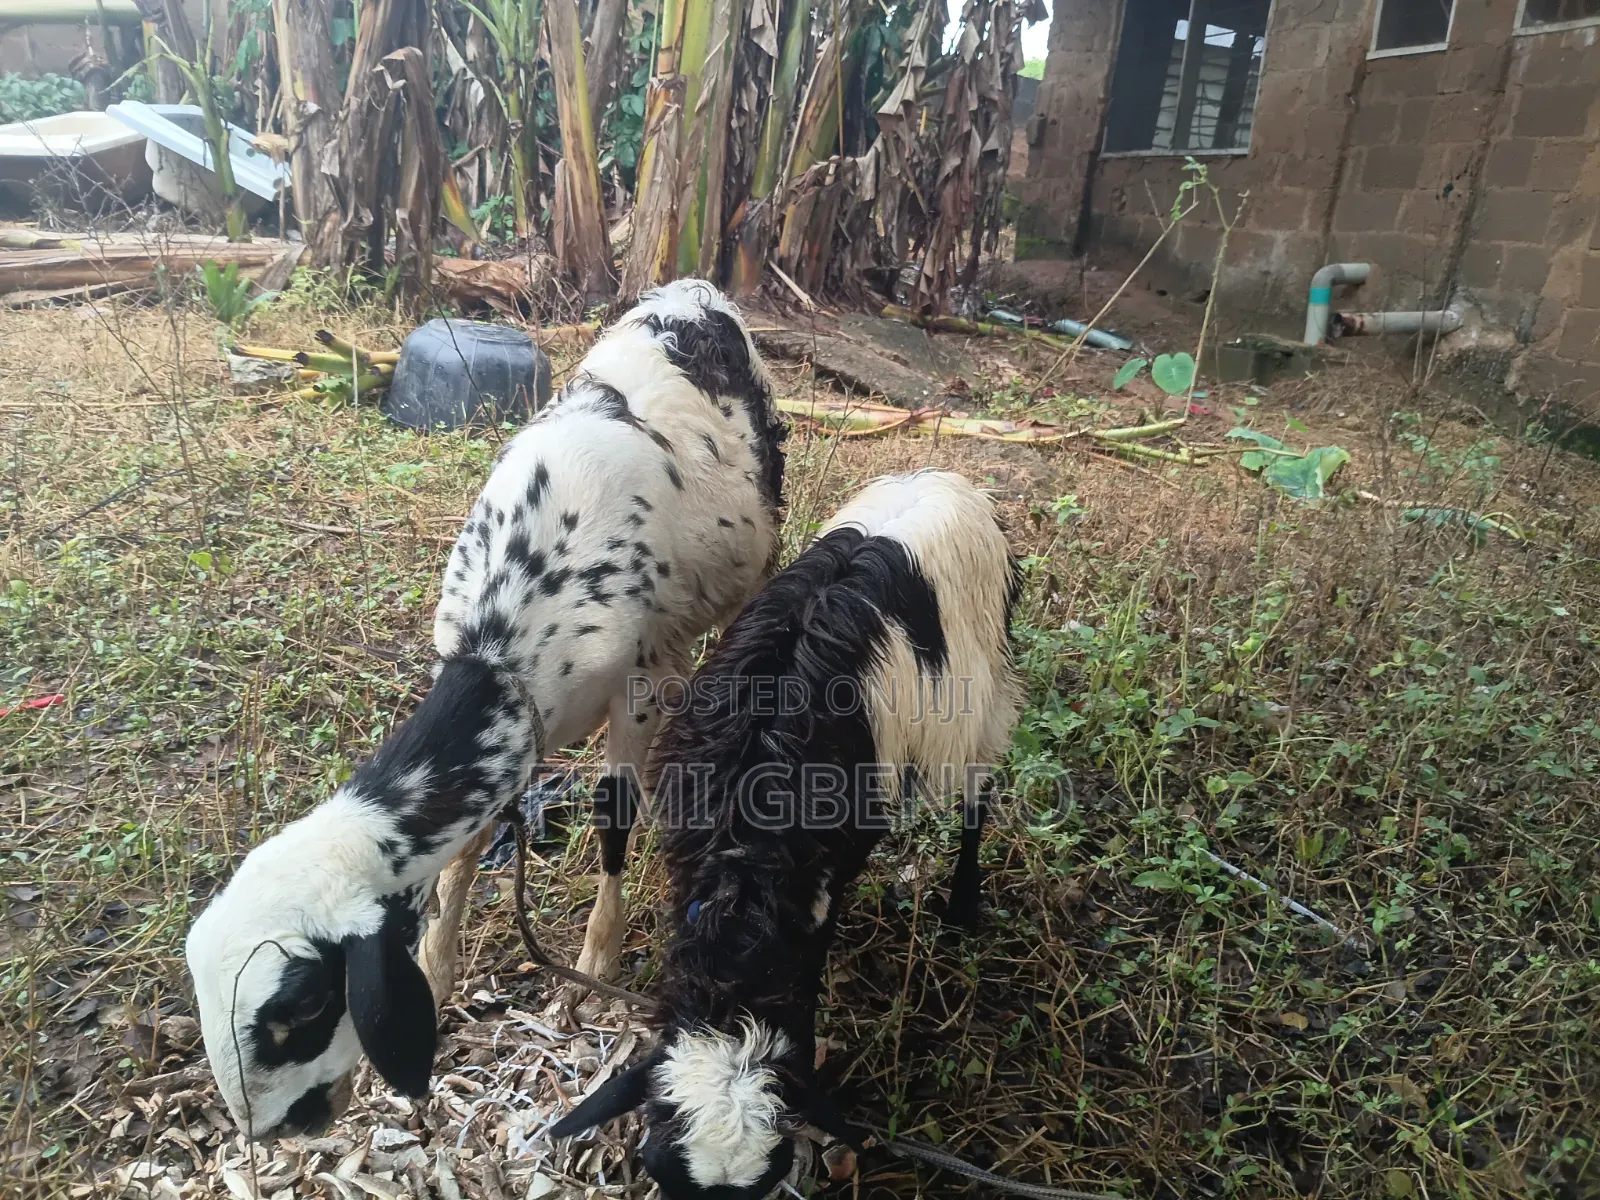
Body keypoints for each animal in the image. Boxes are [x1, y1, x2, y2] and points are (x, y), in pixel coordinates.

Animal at [183, 278, 786, 1141]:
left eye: (300, 1006)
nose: (277, 1130)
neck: (504, 644)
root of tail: (691, 292)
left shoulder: (637, 687)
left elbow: (614, 817)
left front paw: (593, 968)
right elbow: (465, 851)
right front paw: (439, 967)